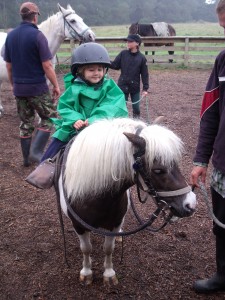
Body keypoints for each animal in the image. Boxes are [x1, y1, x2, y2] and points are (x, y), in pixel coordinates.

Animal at [58, 116, 197, 284]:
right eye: (158, 170)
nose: (190, 204)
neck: (93, 197)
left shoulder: (114, 223)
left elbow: (108, 248)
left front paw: (109, 274)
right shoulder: (78, 225)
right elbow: (86, 249)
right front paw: (86, 272)